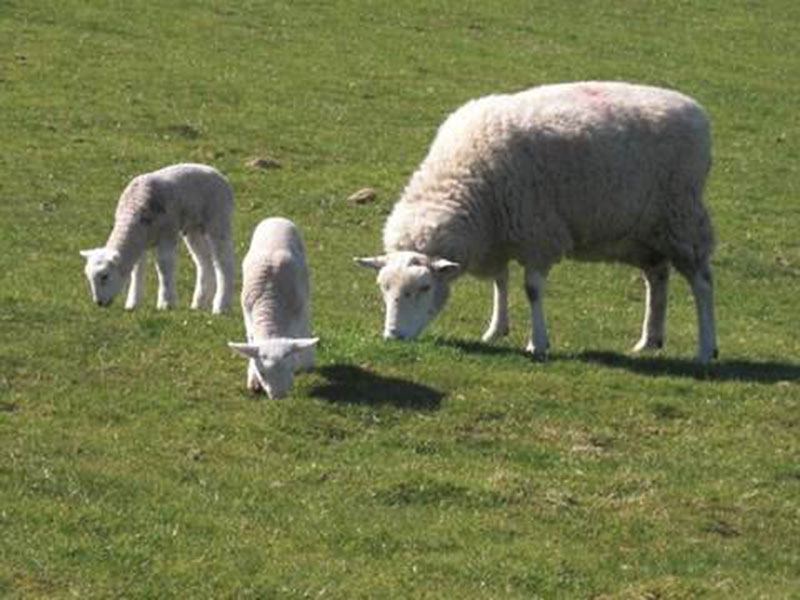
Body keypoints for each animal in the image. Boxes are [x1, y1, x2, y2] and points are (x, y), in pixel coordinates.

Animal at [80, 163, 236, 314]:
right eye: (88, 277)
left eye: (105, 276)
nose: (99, 303)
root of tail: (219, 174)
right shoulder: (140, 242)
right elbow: (137, 271)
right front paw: (133, 303)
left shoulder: (167, 234)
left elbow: (163, 267)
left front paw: (166, 303)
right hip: (193, 229)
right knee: (204, 261)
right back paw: (199, 303)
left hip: (218, 218)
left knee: (225, 262)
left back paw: (221, 306)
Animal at [228, 217, 318, 399]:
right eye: (262, 373)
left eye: (289, 368)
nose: (279, 396)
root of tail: (276, 218)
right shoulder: (248, 316)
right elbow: (251, 343)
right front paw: (253, 379)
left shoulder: (297, 311)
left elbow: (297, 336)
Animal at [356, 81, 718, 363]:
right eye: (383, 288)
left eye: (425, 288)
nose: (393, 336)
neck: (462, 180)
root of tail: (696, 111)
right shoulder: (497, 236)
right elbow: (500, 281)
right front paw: (496, 329)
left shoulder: (538, 234)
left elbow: (531, 290)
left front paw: (538, 344)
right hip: (644, 232)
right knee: (657, 277)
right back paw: (649, 340)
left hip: (682, 217)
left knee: (702, 283)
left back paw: (705, 350)